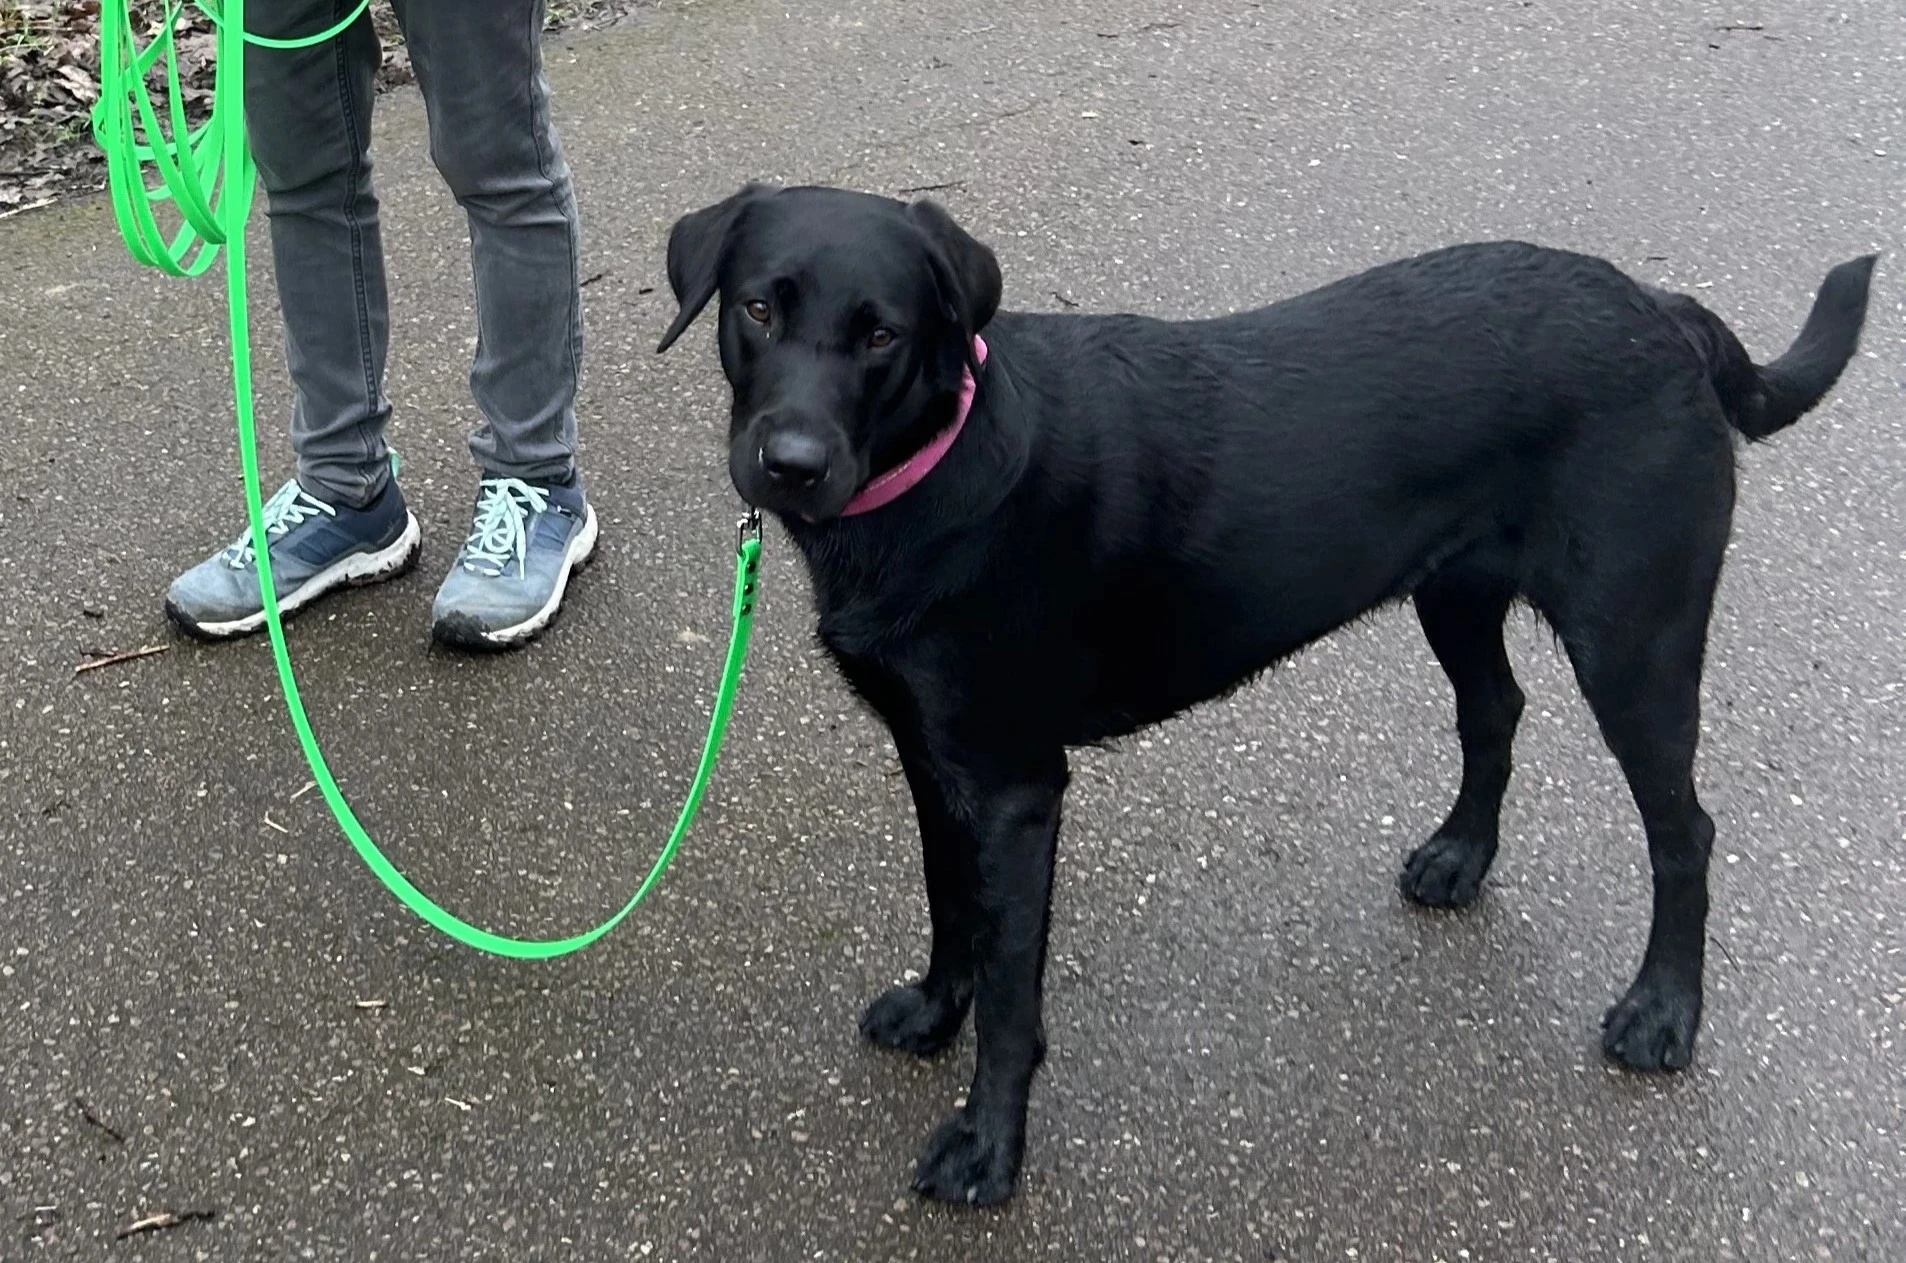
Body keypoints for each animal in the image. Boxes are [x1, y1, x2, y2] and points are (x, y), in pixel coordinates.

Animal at [655, 185, 1875, 1203]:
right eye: (759, 307)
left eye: (882, 334)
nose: (791, 462)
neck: (938, 468)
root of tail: (1661, 308)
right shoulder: (930, 755)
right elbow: (952, 907)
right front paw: (931, 1008)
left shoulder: (1013, 789)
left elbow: (1011, 988)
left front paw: (988, 1148)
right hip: (1457, 594)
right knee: (1495, 713)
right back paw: (1459, 857)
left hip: (1633, 642)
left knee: (1683, 831)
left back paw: (1663, 1012)